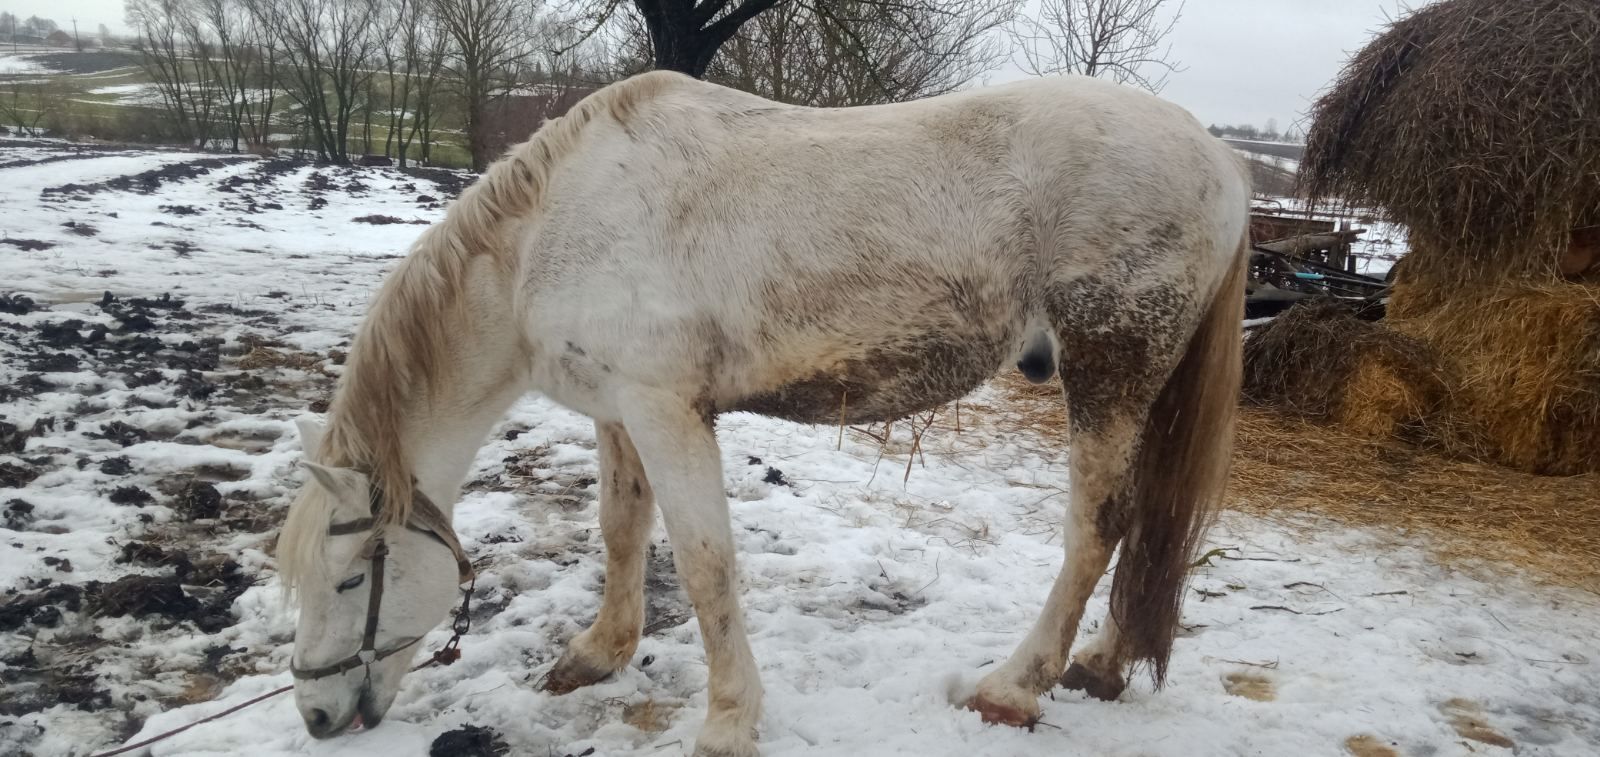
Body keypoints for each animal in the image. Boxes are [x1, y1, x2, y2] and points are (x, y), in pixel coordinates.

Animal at [275, 68, 1248, 752]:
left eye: (352, 577)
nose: (316, 714)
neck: (551, 231)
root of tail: (1223, 161)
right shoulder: (617, 409)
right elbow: (621, 531)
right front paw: (598, 652)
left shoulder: (666, 410)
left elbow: (706, 565)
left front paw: (728, 721)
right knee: (1143, 526)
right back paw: (1102, 667)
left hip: (1109, 370)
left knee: (1098, 527)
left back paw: (1012, 686)